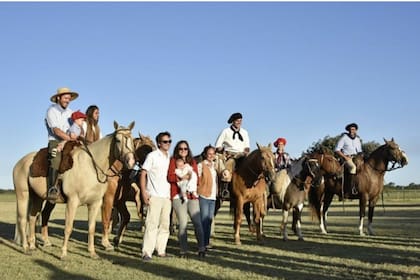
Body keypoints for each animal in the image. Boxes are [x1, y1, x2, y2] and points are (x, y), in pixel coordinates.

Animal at [12, 121, 135, 260]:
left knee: (32, 217)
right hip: (23, 195)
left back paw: (32, 245)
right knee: (22, 219)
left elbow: (91, 228)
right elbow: (68, 228)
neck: (91, 167)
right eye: (118, 140)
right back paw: (25, 247)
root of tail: (20, 163)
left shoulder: (95, 203)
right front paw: (63, 253)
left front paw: (92, 253)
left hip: (37, 197)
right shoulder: (72, 201)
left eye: (131, 140)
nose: (131, 161)